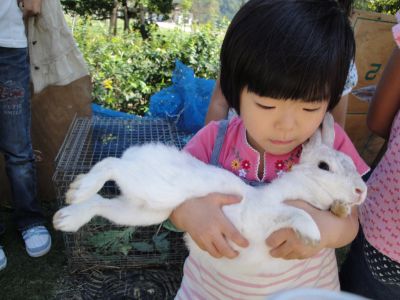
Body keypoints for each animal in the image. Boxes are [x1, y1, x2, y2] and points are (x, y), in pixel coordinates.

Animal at [54, 113, 368, 274]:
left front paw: (338, 210)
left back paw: (68, 213)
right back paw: (80, 188)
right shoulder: (265, 212)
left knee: (102, 204)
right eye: (324, 166)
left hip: (144, 210)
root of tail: (138, 152)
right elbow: (296, 213)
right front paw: (312, 234)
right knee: (111, 164)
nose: (361, 190)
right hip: (151, 184)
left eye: (352, 164)